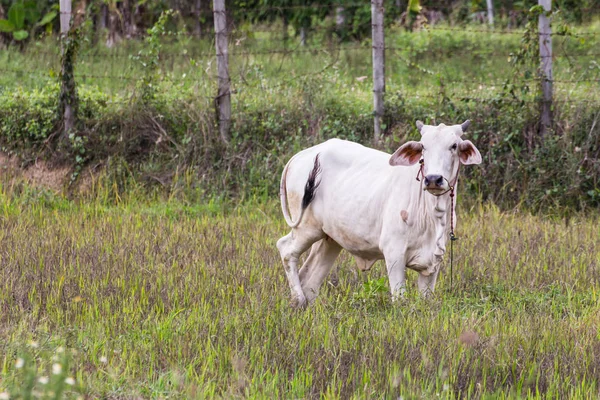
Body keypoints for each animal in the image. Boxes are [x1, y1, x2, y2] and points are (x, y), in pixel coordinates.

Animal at [278, 119, 482, 306]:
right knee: (286, 249)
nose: (433, 179)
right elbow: (400, 299)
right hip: (306, 228)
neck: (433, 213)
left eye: (454, 146)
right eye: (423, 146)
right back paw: (297, 300)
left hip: (330, 239)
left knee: (310, 279)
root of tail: (301, 155)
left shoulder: (434, 260)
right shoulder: (394, 252)